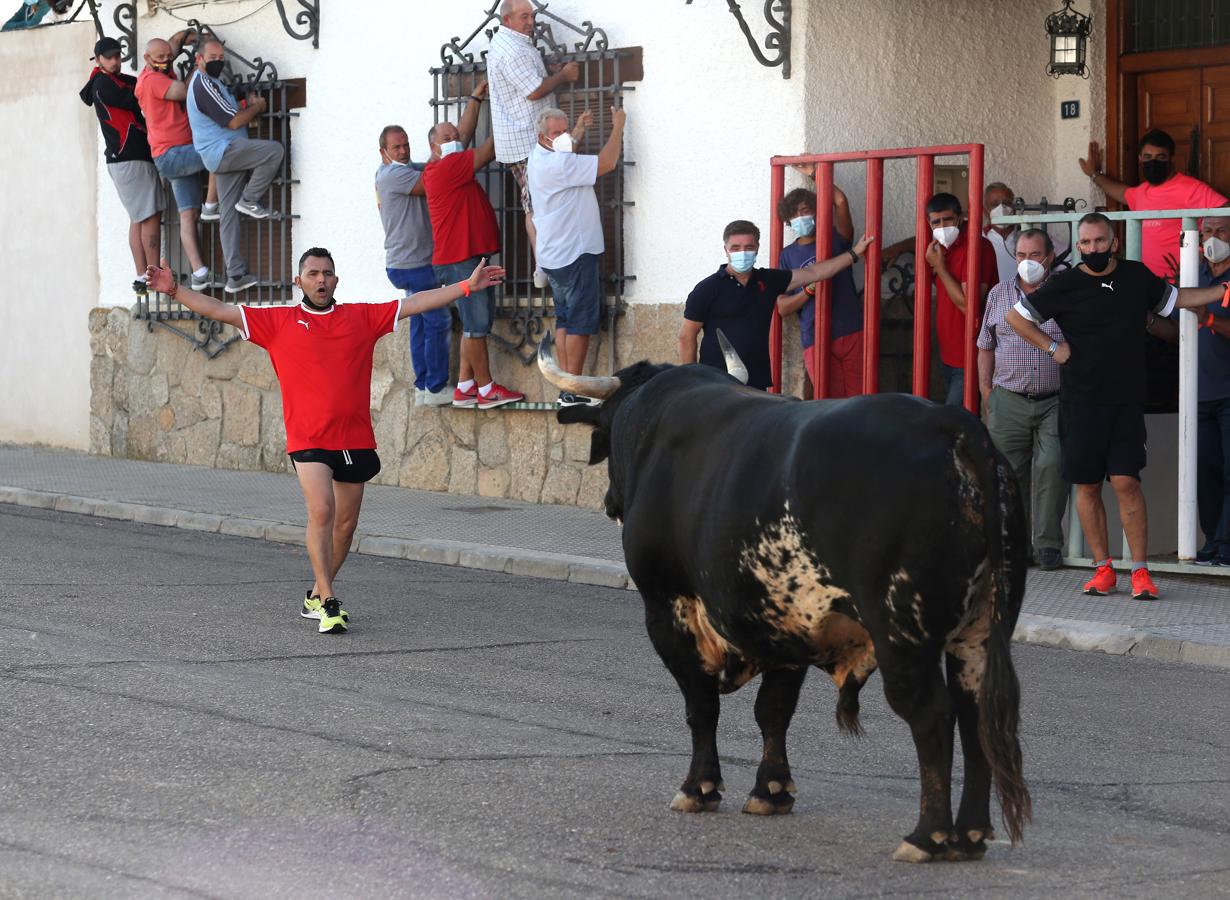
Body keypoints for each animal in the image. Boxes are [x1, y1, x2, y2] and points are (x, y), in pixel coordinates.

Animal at [543, 334, 1033, 860]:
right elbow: (773, 710)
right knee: (976, 714)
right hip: (980, 632)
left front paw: (699, 787)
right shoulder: (787, 619)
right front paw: (771, 790)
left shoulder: (667, 607)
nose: (610, 502)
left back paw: (928, 835)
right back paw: (972, 834)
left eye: (606, 433)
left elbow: (701, 704)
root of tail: (949, 422)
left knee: (933, 715)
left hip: (903, 633)